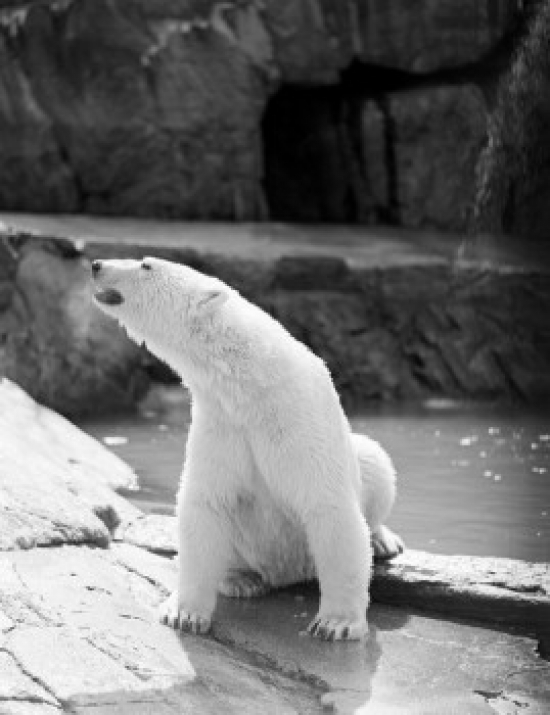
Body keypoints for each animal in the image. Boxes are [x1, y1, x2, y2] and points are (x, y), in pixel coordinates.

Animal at [92, 256, 403, 641]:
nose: (96, 264)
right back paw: (241, 580)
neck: (250, 384)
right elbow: (206, 504)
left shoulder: (299, 419)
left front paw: (336, 624)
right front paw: (184, 614)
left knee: (374, 460)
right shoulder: (222, 423)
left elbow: (329, 507)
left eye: (146, 265)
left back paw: (383, 540)